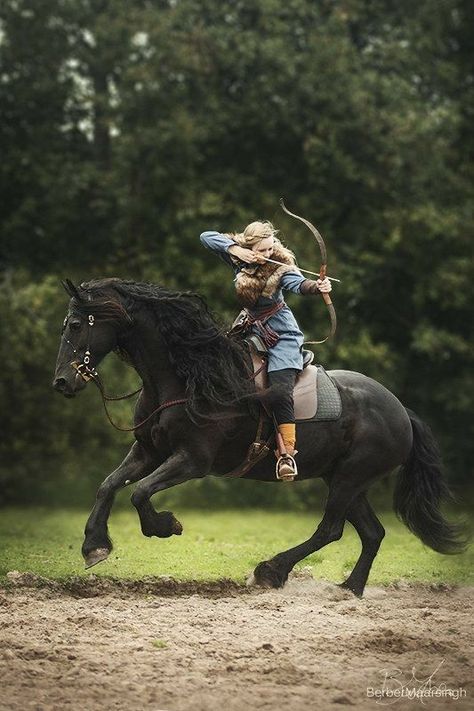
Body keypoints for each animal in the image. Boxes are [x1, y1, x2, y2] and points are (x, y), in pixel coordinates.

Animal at [53, 278, 464, 596]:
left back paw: (271, 571)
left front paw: (165, 526)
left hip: (349, 479)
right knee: (372, 533)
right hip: (346, 480)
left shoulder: (192, 461)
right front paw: (94, 546)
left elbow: (139, 493)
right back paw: (350, 588)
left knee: (331, 530)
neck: (185, 378)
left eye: (74, 324)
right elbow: (108, 485)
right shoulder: (147, 452)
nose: (61, 382)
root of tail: (402, 412)